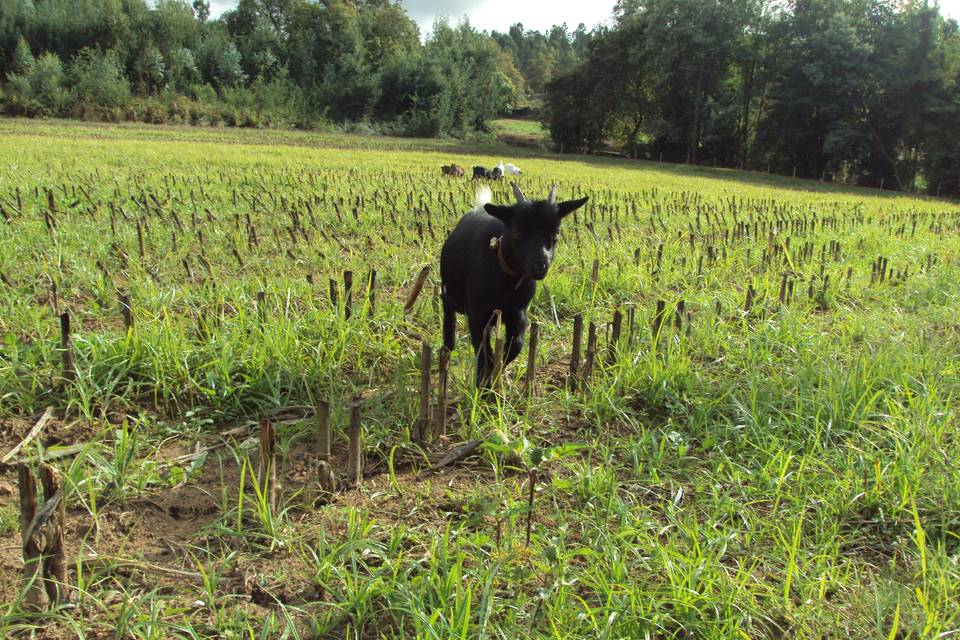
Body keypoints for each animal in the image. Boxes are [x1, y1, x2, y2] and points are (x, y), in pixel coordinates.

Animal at [440, 182, 588, 388]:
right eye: (517, 232)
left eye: (556, 233)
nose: (540, 265)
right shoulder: (477, 314)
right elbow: (483, 351)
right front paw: (483, 384)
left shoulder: (518, 312)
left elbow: (515, 345)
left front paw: (497, 373)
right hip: (449, 292)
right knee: (448, 313)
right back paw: (448, 348)